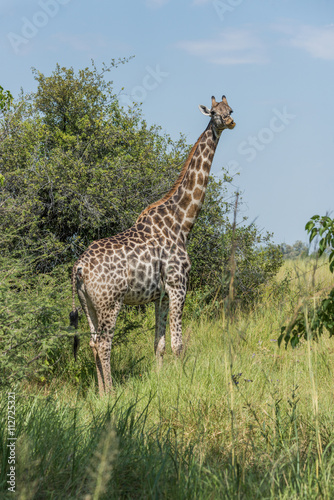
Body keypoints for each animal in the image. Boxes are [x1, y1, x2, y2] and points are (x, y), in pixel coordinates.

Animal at [70, 95, 235, 396]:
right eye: (215, 113)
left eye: (230, 109)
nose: (229, 121)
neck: (181, 222)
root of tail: (78, 268)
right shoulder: (179, 285)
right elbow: (178, 345)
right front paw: (184, 383)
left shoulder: (160, 295)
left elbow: (158, 344)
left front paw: (159, 381)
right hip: (110, 302)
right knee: (104, 343)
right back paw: (112, 392)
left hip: (88, 303)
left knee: (92, 342)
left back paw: (100, 393)